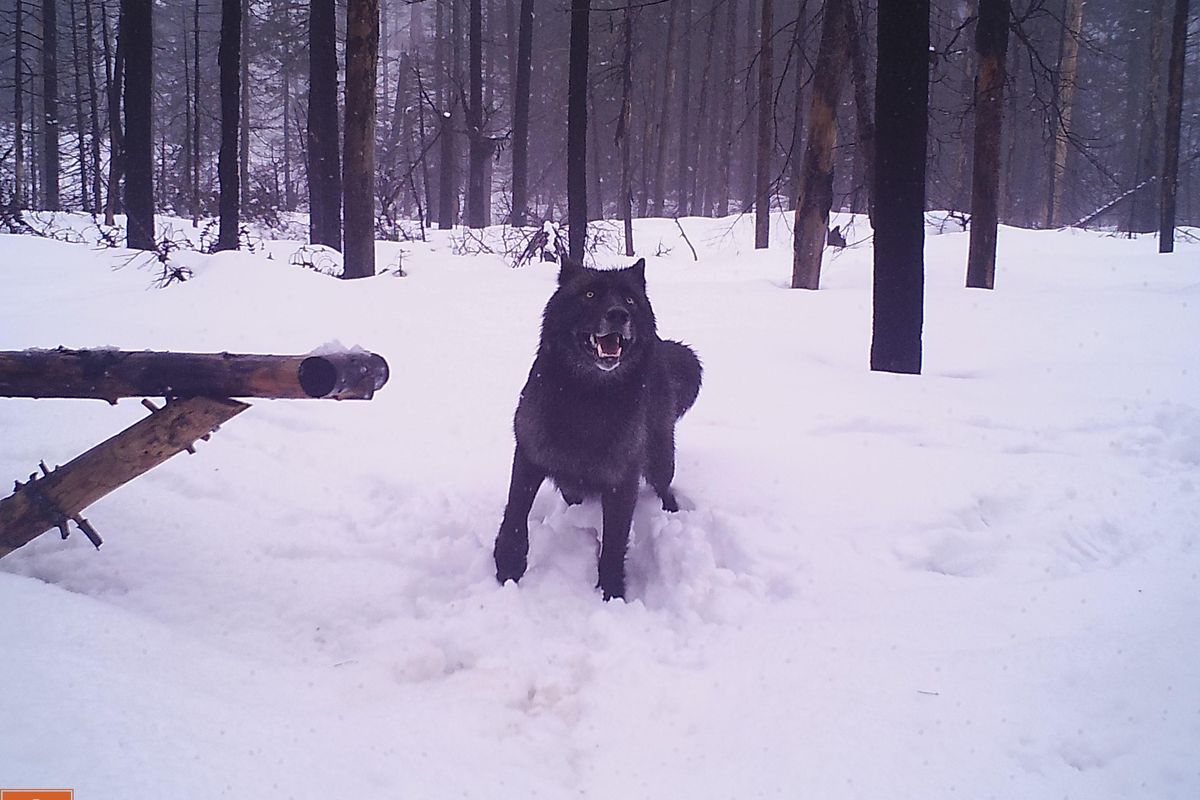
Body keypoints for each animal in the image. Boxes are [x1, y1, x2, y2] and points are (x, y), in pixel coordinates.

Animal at [492, 256, 700, 599]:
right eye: (589, 295)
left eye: (629, 300)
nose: (618, 314)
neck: (588, 398)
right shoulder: (529, 455)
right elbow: (516, 514)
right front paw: (509, 565)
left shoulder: (622, 479)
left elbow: (615, 541)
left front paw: (612, 591)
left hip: (660, 456)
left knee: (664, 485)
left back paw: (671, 512)